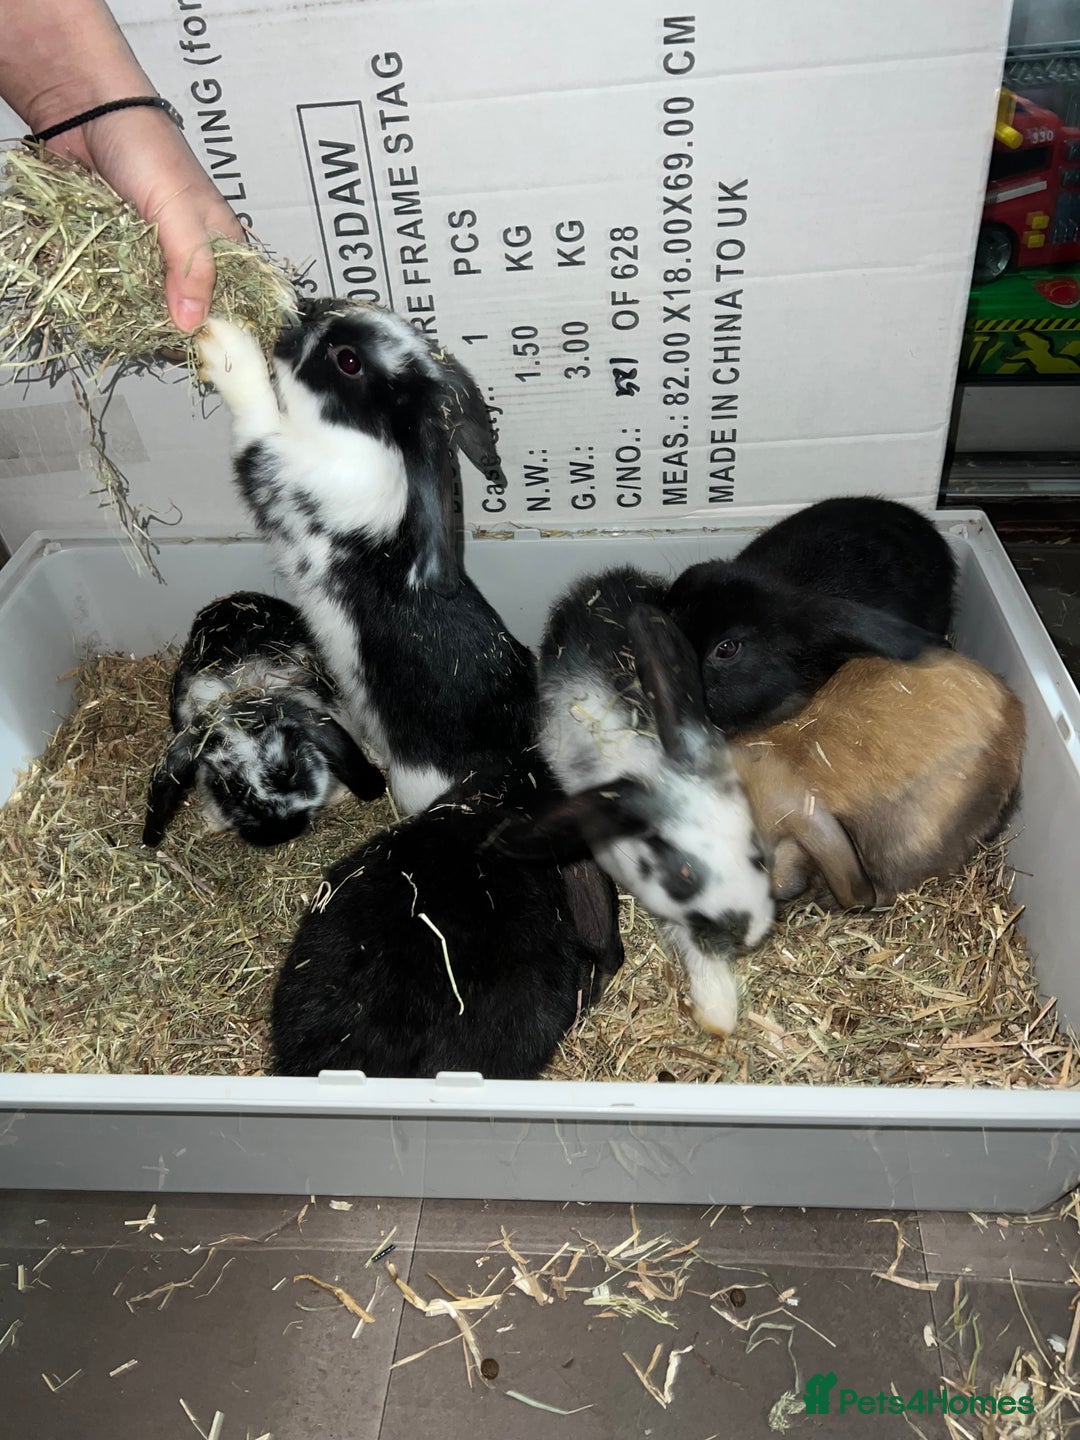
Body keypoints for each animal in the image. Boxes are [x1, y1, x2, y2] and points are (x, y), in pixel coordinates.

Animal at [194, 300, 537, 817]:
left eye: (349, 361)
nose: (297, 314)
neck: (359, 437)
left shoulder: (278, 463)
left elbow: (257, 412)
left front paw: (223, 343)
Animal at [490, 566, 776, 1039]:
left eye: (757, 853)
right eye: (684, 873)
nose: (751, 932)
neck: (649, 765)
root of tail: (591, 583)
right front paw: (718, 1011)